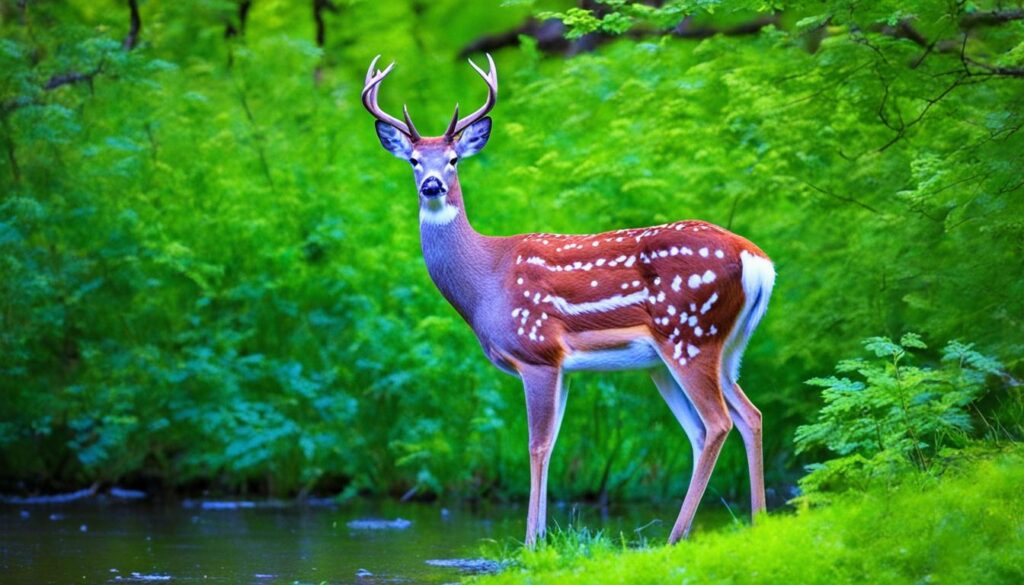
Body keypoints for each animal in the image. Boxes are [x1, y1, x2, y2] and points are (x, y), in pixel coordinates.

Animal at [364, 52, 770, 549]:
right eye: (415, 160)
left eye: (455, 159)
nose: (433, 186)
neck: (486, 282)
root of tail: (757, 261)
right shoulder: (564, 366)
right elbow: (554, 443)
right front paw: (543, 537)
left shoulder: (536, 351)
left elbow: (536, 445)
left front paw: (529, 544)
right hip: (717, 349)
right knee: (746, 416)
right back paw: (758, 522)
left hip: (689, 334)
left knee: (716, 423)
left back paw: (677, 536)